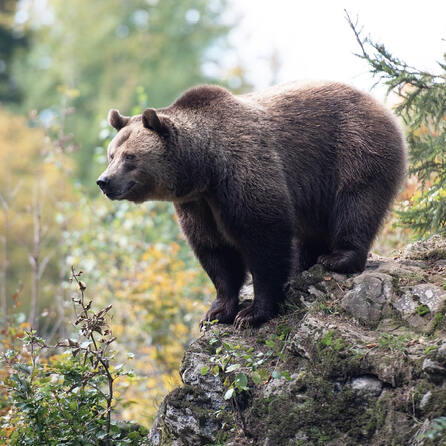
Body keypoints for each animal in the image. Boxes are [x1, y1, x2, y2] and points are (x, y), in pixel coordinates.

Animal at [97, 82, 408, 328]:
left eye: (130, 157)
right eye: (111, 154)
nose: (104, 181)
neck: (206, 168)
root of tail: (381, 104)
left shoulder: (244, 171)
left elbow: (263, 238)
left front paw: (252, 313)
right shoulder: (198, 205)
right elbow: (215, 251)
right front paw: (216, 311)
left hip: (354, 148)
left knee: (356, 203)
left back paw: (338, 257)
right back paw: (304, 264)